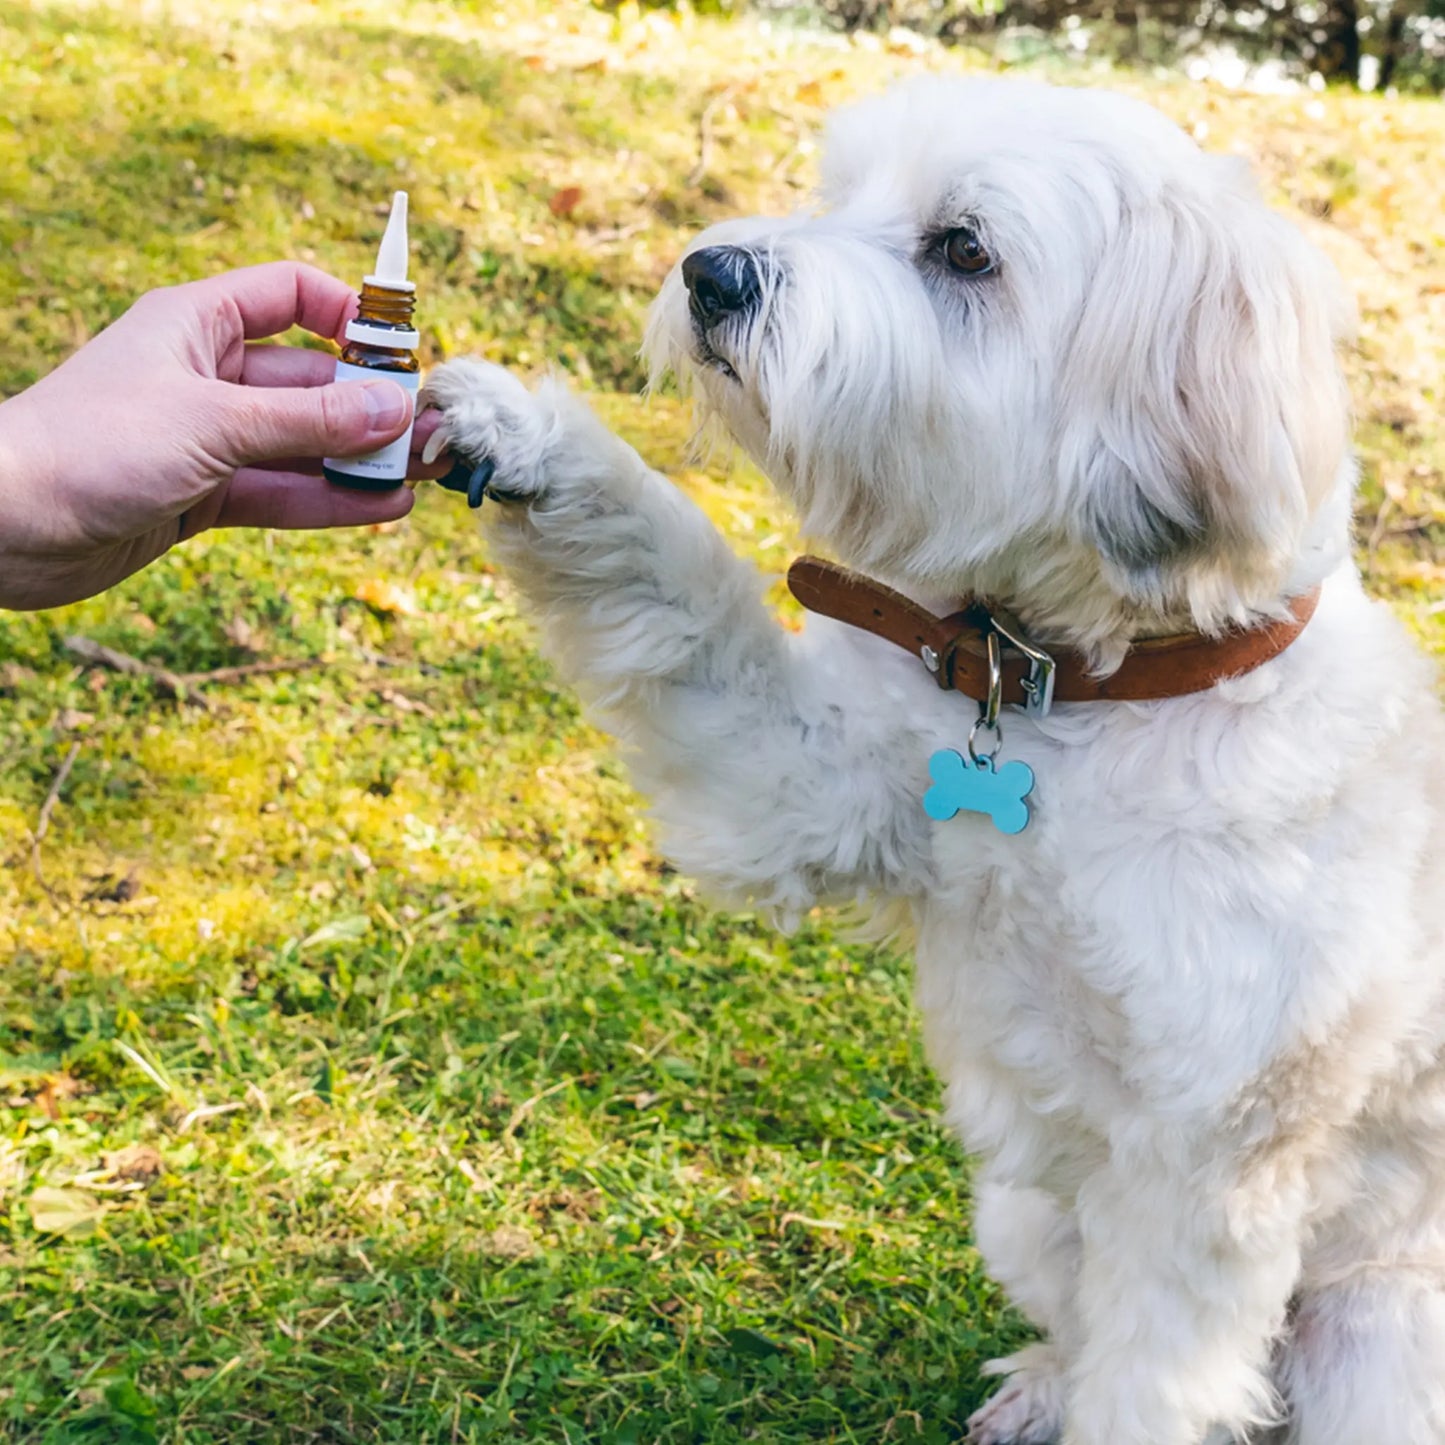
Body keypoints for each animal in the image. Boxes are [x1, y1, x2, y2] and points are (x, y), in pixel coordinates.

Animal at [421, 79, 1445, 1445]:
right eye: (838, 193)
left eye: (963, 249)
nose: (711, 271)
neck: (1079, 703)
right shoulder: (798, 777)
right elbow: (676, 593)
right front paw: (526, 436)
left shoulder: (1200, 1173)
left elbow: (1149, 1383)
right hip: (1022, 1211)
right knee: (1071, 1320)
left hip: (1377, 1328)